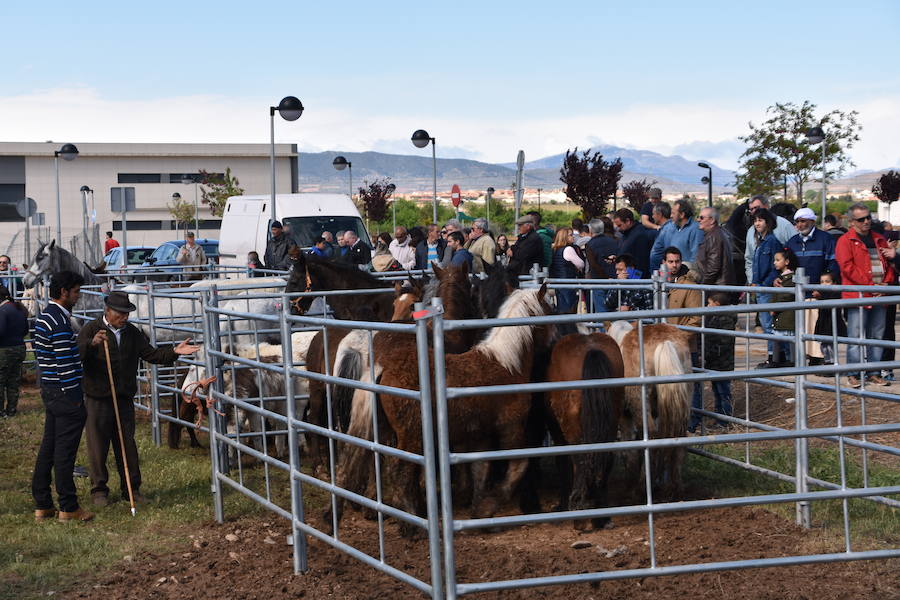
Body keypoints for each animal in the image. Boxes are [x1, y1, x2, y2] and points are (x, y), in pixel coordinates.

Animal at [544, 330, 624, 532]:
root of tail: (592, 349)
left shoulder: (556, 427)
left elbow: (563, 463)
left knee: (580, 461)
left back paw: (580, 512)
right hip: (611, 419)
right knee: (605, 458)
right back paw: (602, 515)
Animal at [608, 322, 692, 500]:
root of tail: (665, 342)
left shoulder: (625, 416)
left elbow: (629, 447)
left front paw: (630, 481)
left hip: (640, 405)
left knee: (652, 437)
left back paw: (641, 487)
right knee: (678, 440)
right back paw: (675, 488)